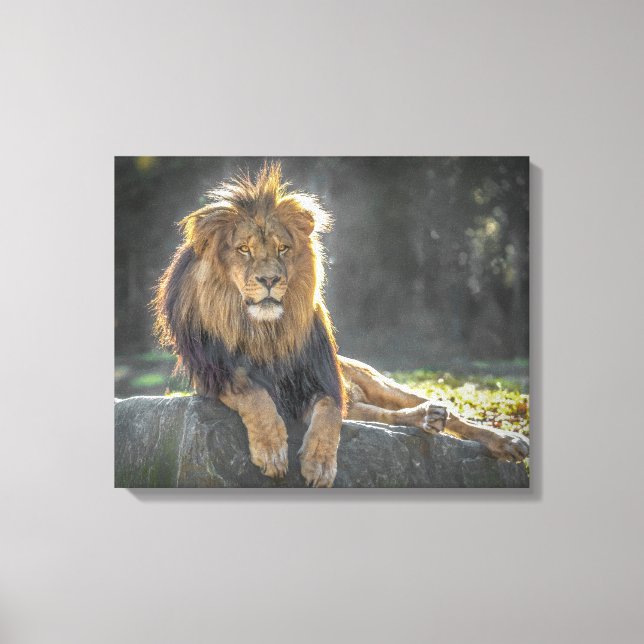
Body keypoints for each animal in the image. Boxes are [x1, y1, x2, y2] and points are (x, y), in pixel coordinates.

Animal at [153, 163, 529, 487]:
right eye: (244, 249)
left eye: (283, 248)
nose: (270, 279)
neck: (265, 330)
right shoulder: (216, 374)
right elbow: (255, 394)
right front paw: (272, 449)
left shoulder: (322, 379)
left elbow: (330, 413)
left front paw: (319, 463)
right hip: (362, 404)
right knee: (387, 417)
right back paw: (427, 417)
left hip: (373, 380)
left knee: (431, 411)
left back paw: (505, 439)